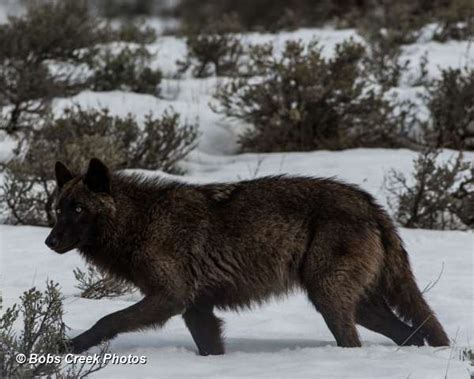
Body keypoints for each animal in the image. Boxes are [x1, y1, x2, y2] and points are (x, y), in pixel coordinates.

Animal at [45, 158, 452, 356]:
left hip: (330, 300)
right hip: (361, 306)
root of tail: (371, 205)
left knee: (359, 342)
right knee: (412, 334)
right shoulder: (197, 309)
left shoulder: (169, 299)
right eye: (57, 209)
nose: (49, 241)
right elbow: (210, 348)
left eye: (78, 209)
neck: (141, 222)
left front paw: (67, 348)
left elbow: (108, 320)